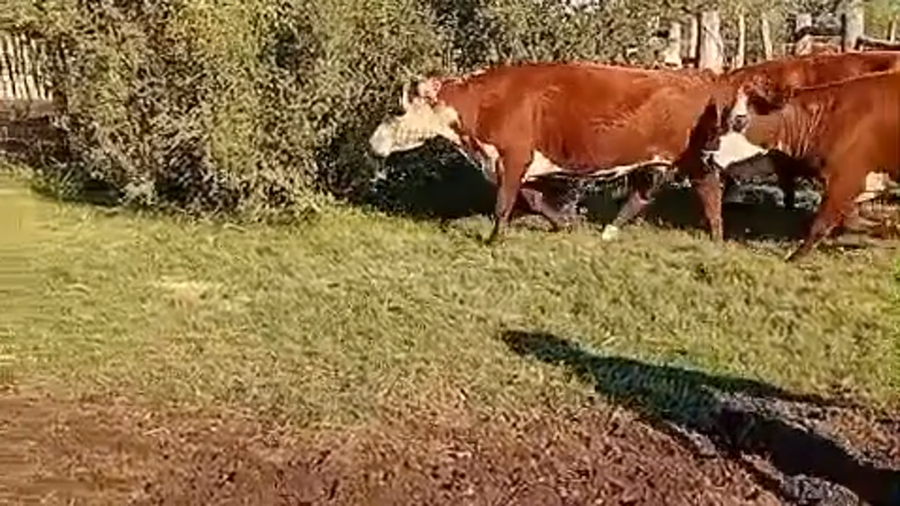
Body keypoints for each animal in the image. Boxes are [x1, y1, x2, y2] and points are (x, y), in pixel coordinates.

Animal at [368, 61, 722, 244]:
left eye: (398, 110)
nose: (372, 143)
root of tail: (700, 75)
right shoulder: (511, 162)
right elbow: (534, 199)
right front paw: (564, 224)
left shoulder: (512, 156)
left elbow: (504, 203)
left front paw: (494, 240)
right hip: (663, 161)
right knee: (644, 194)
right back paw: (608, 232)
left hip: (695, 159)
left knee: (710, 193)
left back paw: (717, 238)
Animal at [699, 69, 900, 261]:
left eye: (739, 119)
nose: (706, 154)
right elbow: (851, 220)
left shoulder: (845, 179)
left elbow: (822, 223)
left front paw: (795, 256)